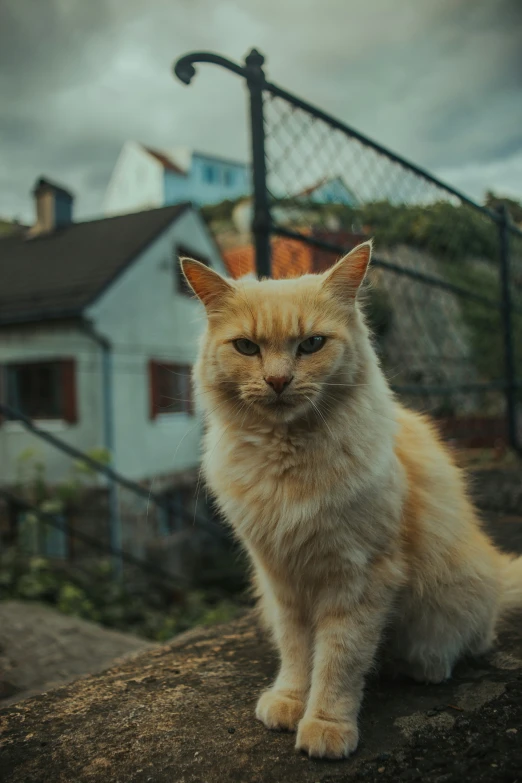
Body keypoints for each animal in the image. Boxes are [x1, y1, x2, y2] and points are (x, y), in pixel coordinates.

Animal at [180, 245, 520, 760]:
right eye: (247, 348)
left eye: (311, 344)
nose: (278, 380)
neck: (288, 460)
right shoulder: (282, 577)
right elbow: (297, 653)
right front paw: (289, 701)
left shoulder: (358, 576)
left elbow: (339, 660)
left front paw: (325, 725)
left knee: (462, 644)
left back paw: (423, 666)